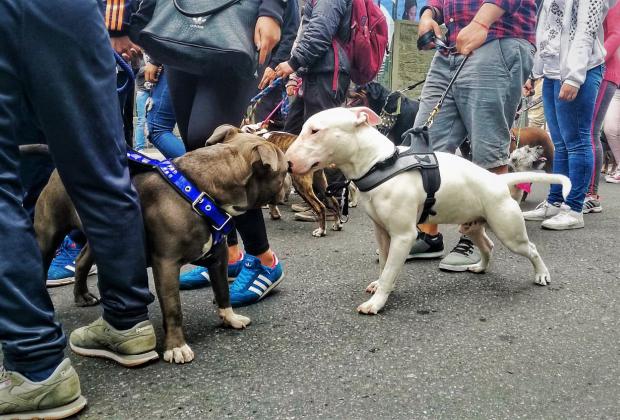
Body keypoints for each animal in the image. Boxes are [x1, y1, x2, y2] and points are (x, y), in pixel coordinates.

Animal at [37, 129, 290, 364]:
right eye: (285, 169)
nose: (291, 169)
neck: (201, 191)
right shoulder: (167, 264)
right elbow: (173, 307)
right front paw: (176, 347)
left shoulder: (218, 258)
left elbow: (222, 291)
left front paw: (230, 318)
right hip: (48, 235)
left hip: (101, 234)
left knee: (82, 261)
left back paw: (82, 296)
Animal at [286, 107, 572, 316]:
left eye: (315, 130)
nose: (287, 162)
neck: (380, 163)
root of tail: (498, 181)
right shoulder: (382, 232)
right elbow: (385, 265)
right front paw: (379, 285)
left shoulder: (403, 236)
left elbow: (390, 270)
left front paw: (377, 302)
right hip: (473, 225)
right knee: (487, 246)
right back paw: (480, 266)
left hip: (510, 232)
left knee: (531, 249)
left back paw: (541, 274)